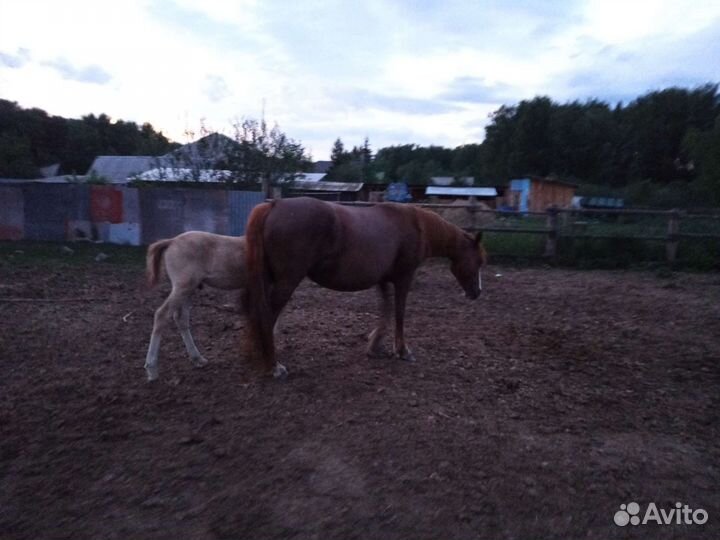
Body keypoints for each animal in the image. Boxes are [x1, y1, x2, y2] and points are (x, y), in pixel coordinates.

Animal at [143, 231, 248, 382]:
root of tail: (171, 241)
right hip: (182, 287)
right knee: (161, 314)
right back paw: (152, 369)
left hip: (188, 290)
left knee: (181, 318)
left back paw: (197, 358)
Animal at [243, 197, 487, 377]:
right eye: (478, 261)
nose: (477, 293)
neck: (417, 225)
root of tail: (274, 205)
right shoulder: (403, 278)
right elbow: (399, 313)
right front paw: (402, 350)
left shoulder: (382, 280)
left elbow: (386, 311)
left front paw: (375, 346)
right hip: (287, 282)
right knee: (267, 316)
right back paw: (273, 366)